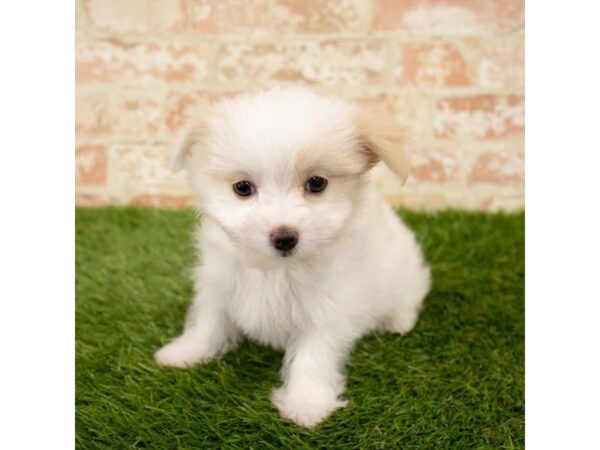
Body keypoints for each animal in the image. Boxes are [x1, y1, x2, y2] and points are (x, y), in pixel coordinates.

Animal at [155, 86, 432, 428]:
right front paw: (185, 353)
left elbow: (312, 357)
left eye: (317, 183)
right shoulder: (220, 286)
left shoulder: (328, 310)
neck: (275, 270)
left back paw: (398, 323)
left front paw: (306, 404)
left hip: (406, 275)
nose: (285, 237)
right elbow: (208, 324)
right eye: (242, 187)